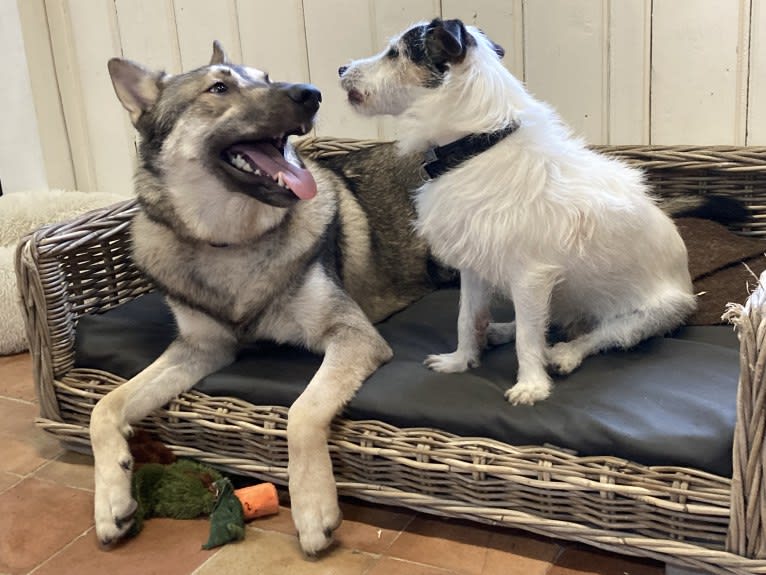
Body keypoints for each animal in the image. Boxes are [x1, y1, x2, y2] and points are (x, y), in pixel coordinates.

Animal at [340, 19, 700, 404]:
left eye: (395, 53)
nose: (340, 69)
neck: (476, 147)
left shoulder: (531, 276)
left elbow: (529, 339)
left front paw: (531, 385)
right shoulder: (473, 268)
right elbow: (467, 318)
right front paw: (461, 360)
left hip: (651, 315)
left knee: (598, 335)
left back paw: (565, 354)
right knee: (544, 321)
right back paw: (499, 331)